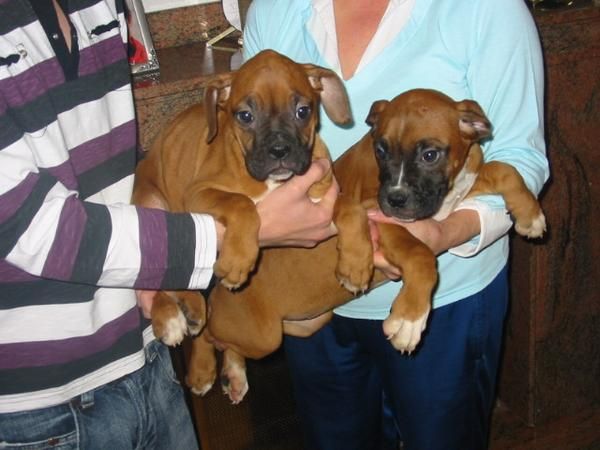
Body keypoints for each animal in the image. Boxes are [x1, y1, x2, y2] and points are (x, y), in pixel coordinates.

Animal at [132, 49, 352, 400]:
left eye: (303, 111)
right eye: (245, 116)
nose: (280, 150)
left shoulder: (321, 183)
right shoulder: (200, 193)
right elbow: (243, 204)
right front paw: (238, 261)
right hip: (154, 205)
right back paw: (174, 320)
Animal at [195, 87, 548, 400]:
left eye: (430, 154)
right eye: (381, 150)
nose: (395, 199)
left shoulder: (458, 191)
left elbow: (504, 169)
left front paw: (530, 214)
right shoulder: (382, 219)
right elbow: (422, 256)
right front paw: (409, 320)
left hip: (302, 325)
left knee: (229, 345)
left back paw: (233, 375)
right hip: (261, 335)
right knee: (209, 332)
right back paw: (203, 366)